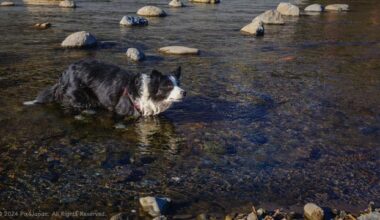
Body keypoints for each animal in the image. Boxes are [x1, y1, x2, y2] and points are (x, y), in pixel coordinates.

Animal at [24, 58, 186, 117]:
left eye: (178, 84)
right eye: (168, 86)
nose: (184, 92)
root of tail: (64, 74)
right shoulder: (123, 110)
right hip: (79, 96)